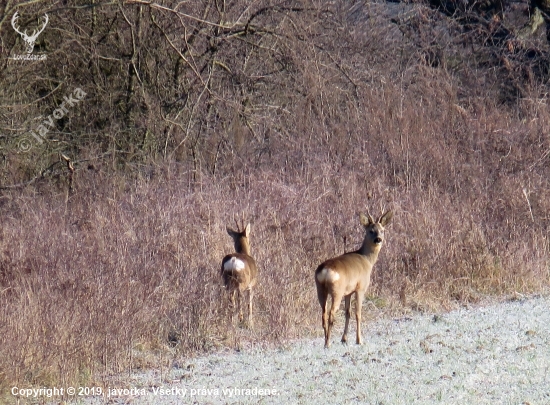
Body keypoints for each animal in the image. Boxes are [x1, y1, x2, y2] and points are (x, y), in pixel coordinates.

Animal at [316, 210, 394, 346]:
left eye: (382, 230)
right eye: (371, 230)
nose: (378, 239)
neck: (367, 259)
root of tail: (325, 271)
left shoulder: (348, 292)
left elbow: (348, 313)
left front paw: (344, 339)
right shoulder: (360, 287)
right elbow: (358, 313)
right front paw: (359, 340)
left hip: (320, 289)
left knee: (323, 314)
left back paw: (326, 340)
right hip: (337, 291)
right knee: (331, 313)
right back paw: (328, 343)